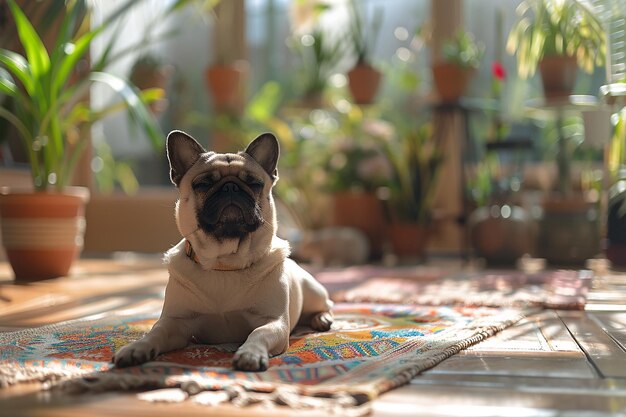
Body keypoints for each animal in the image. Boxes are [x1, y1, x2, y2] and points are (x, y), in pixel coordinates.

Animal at [114, 131, 334, 370]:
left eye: (254, 183)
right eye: (203, 184)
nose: (231, 187)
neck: (225, 262)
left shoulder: (273, 322)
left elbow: (258, 334)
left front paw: (250, 353)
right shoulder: (176, 323)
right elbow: (156, 333)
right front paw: (137, 348)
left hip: (314, 292)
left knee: (326, 305)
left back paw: (322, 319)